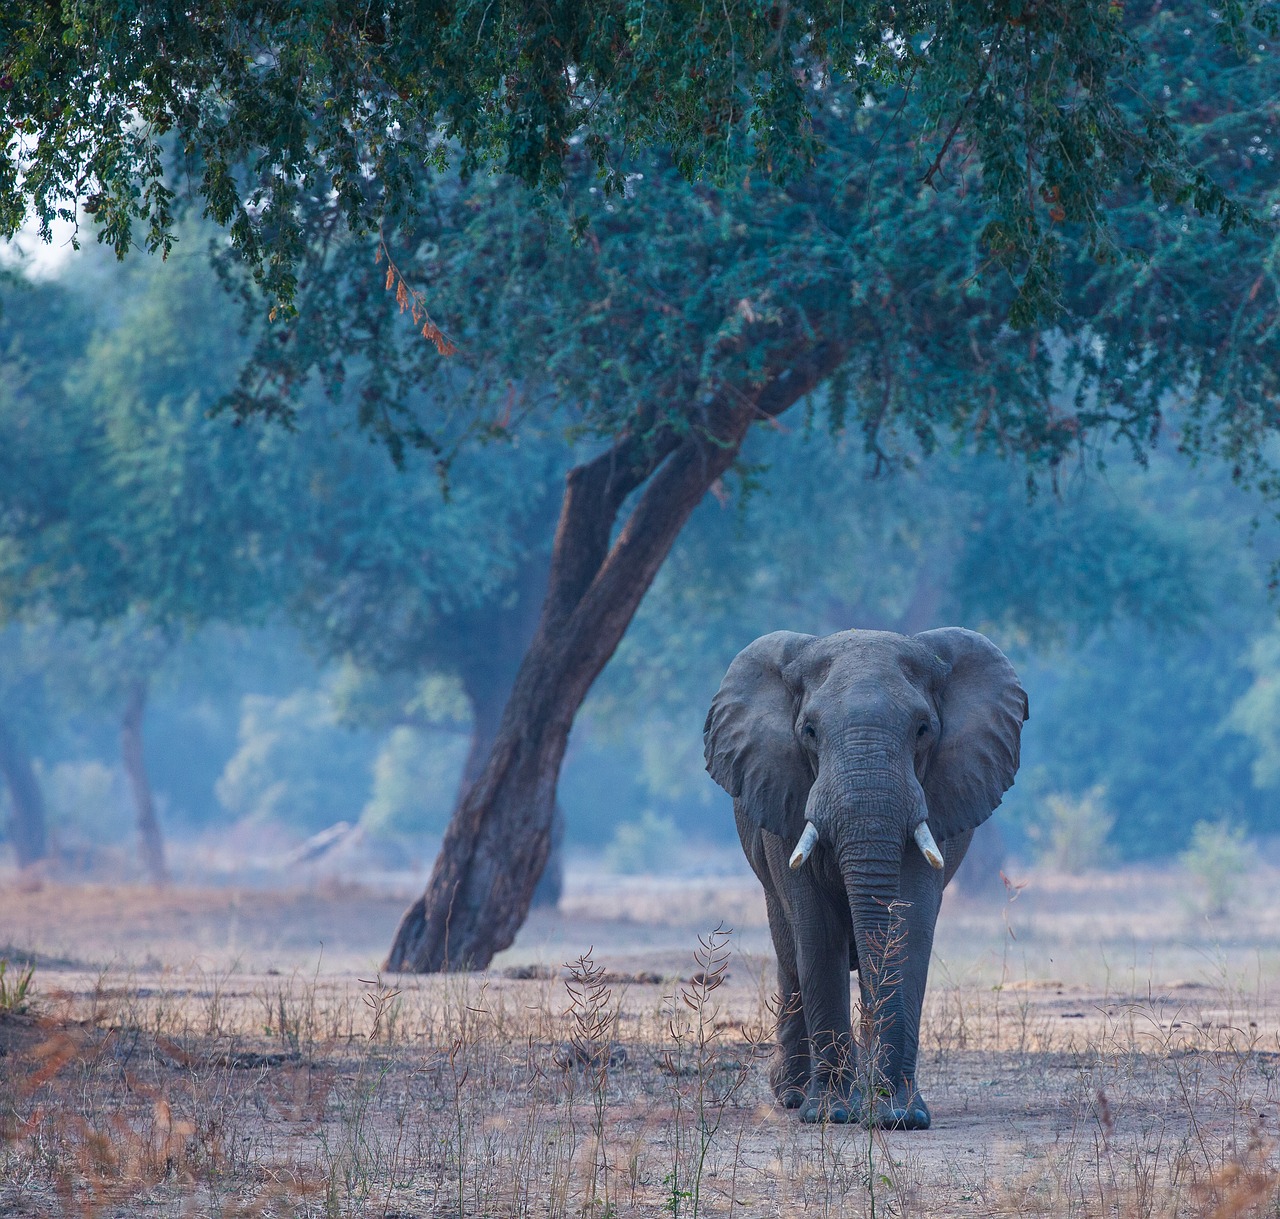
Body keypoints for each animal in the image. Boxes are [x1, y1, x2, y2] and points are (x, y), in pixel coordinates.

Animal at [706, 627, 1024, 1131]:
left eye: (923, 729)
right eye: (809, 731)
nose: (883, 1108)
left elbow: (907, 925)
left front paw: (899, 1115)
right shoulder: (787, 797)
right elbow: (816, 932)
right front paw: (832, 1114)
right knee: (789, 951)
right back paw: (794, 1095)